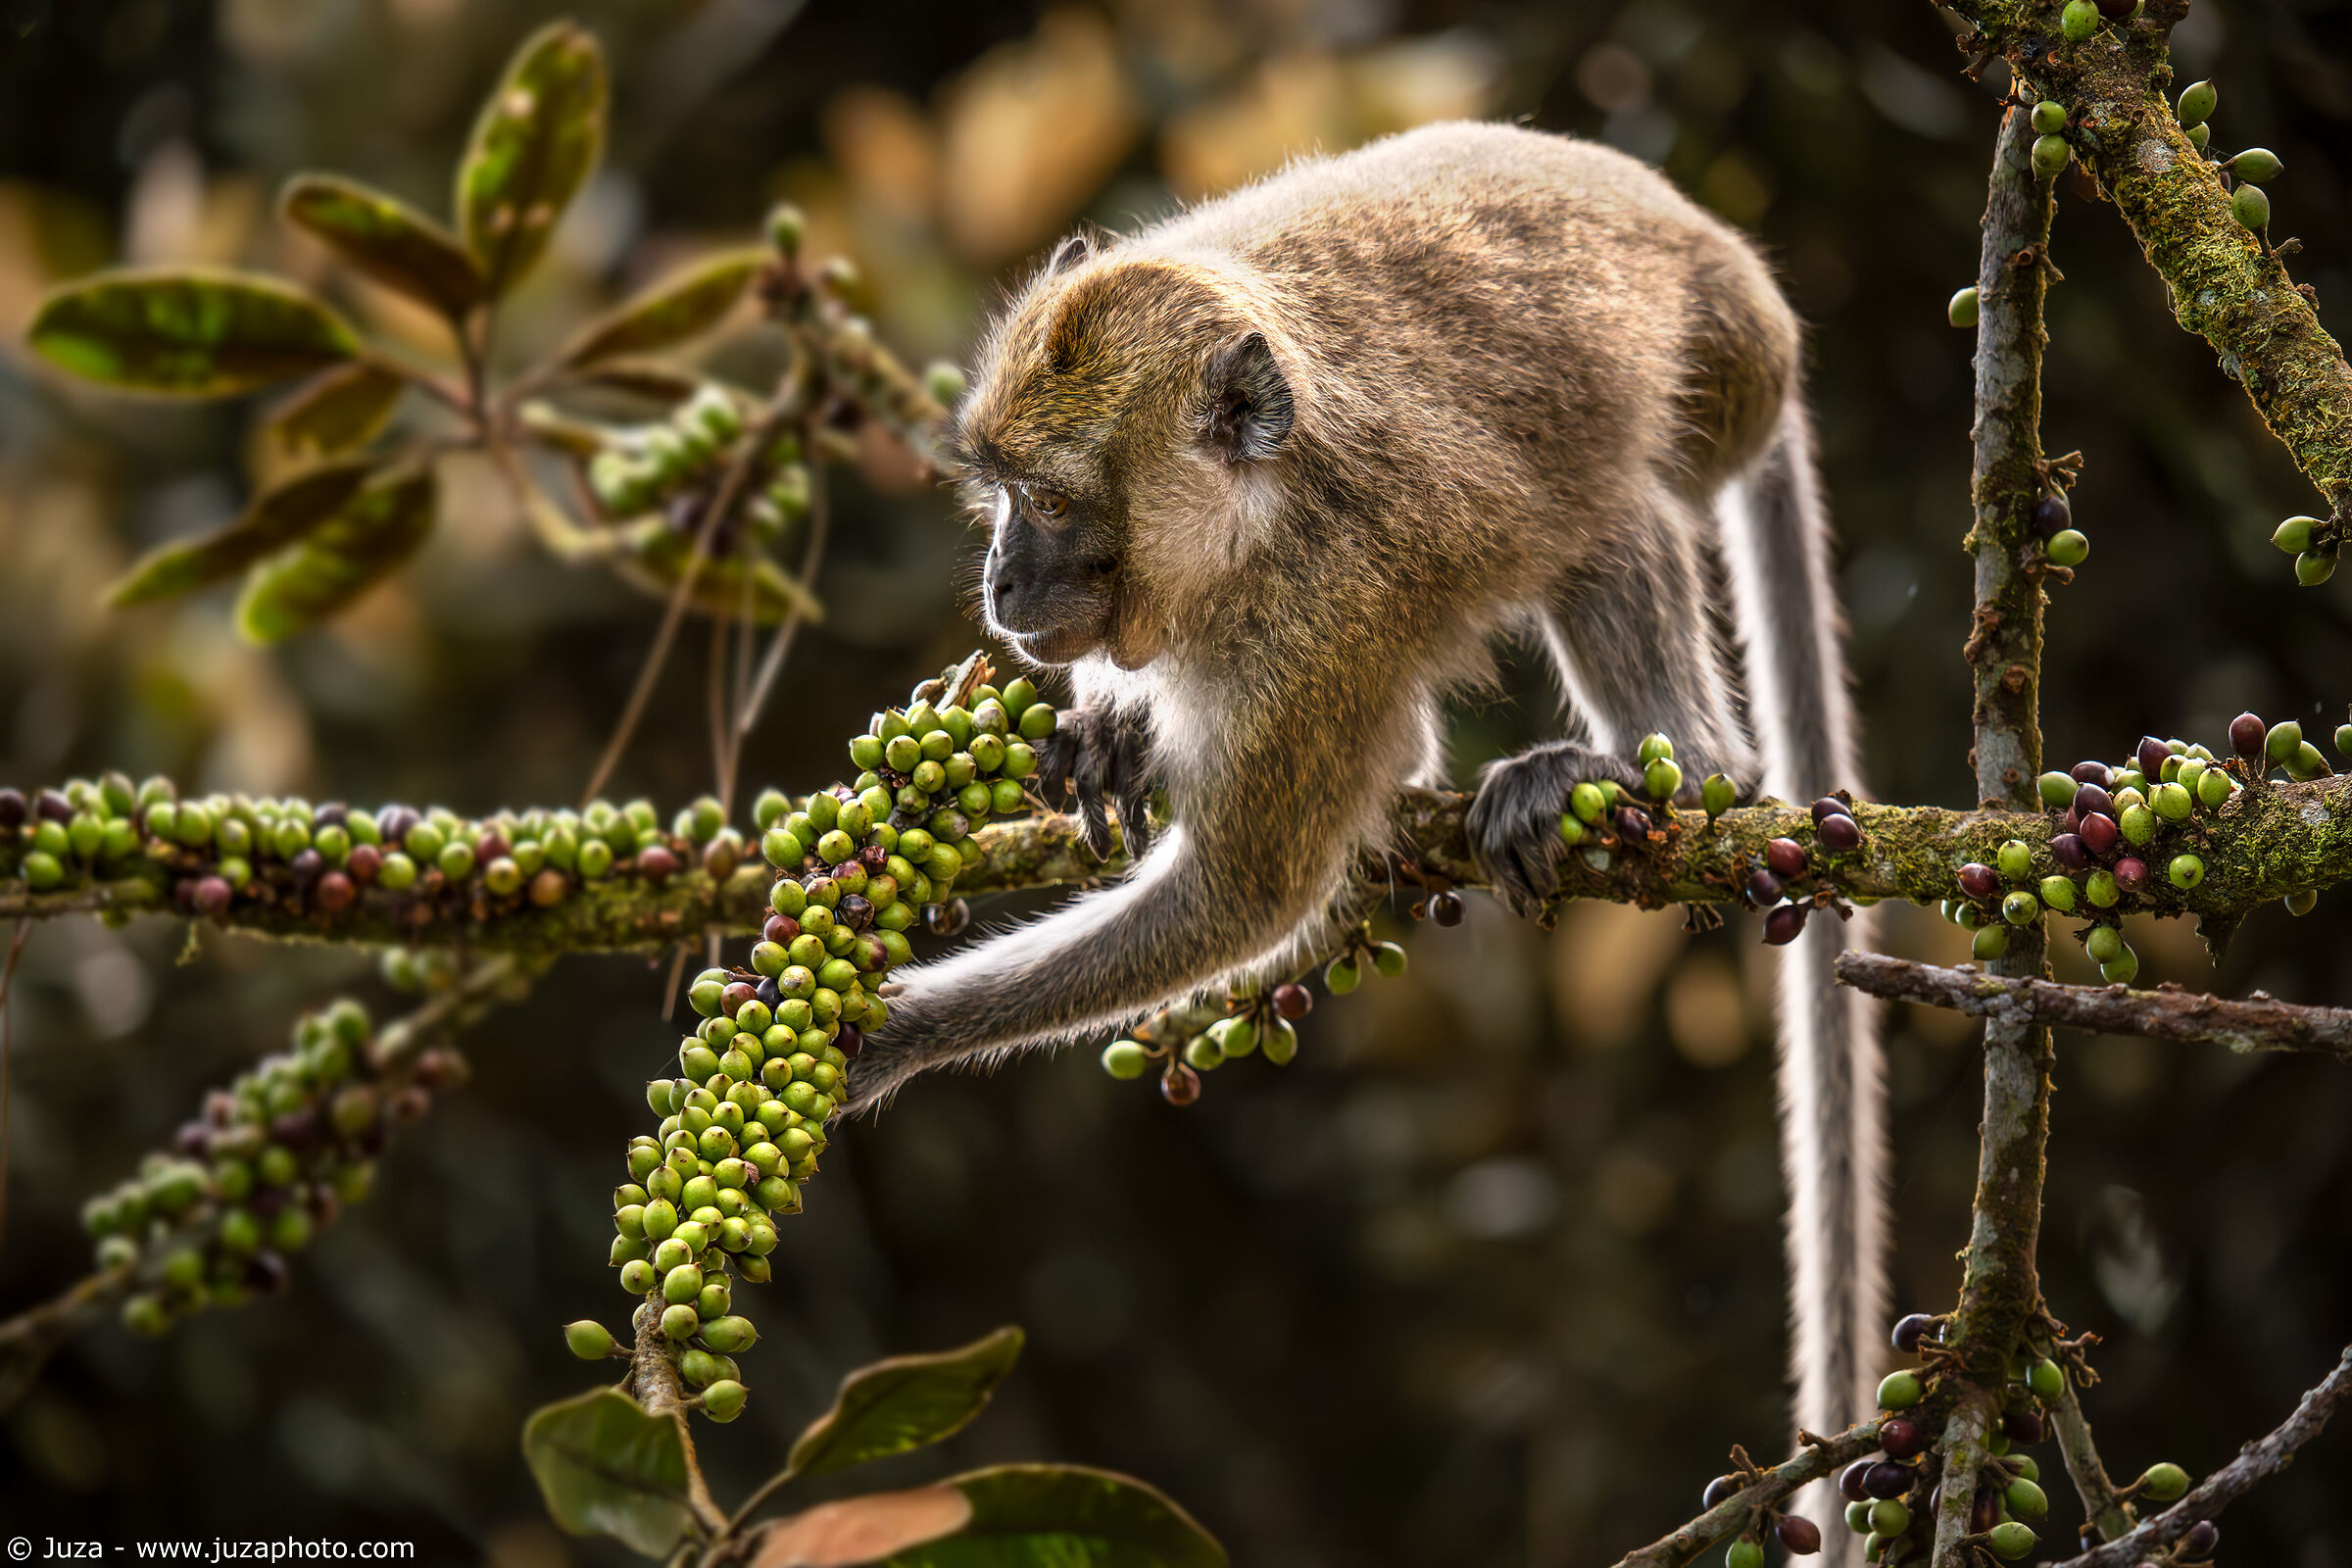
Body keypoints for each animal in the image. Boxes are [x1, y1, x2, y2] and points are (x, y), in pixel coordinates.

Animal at [844, 121, 1884, 1444]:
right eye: (1000, 496)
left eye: (1056, 502)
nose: (1002, 581)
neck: (1259, 513)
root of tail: (1742, 285)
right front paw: (1114, 726)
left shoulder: (1326, 618)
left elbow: (1245, 892)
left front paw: (885, 1036)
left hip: (1703, 381)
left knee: (1599, 504)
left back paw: (1689, 761)